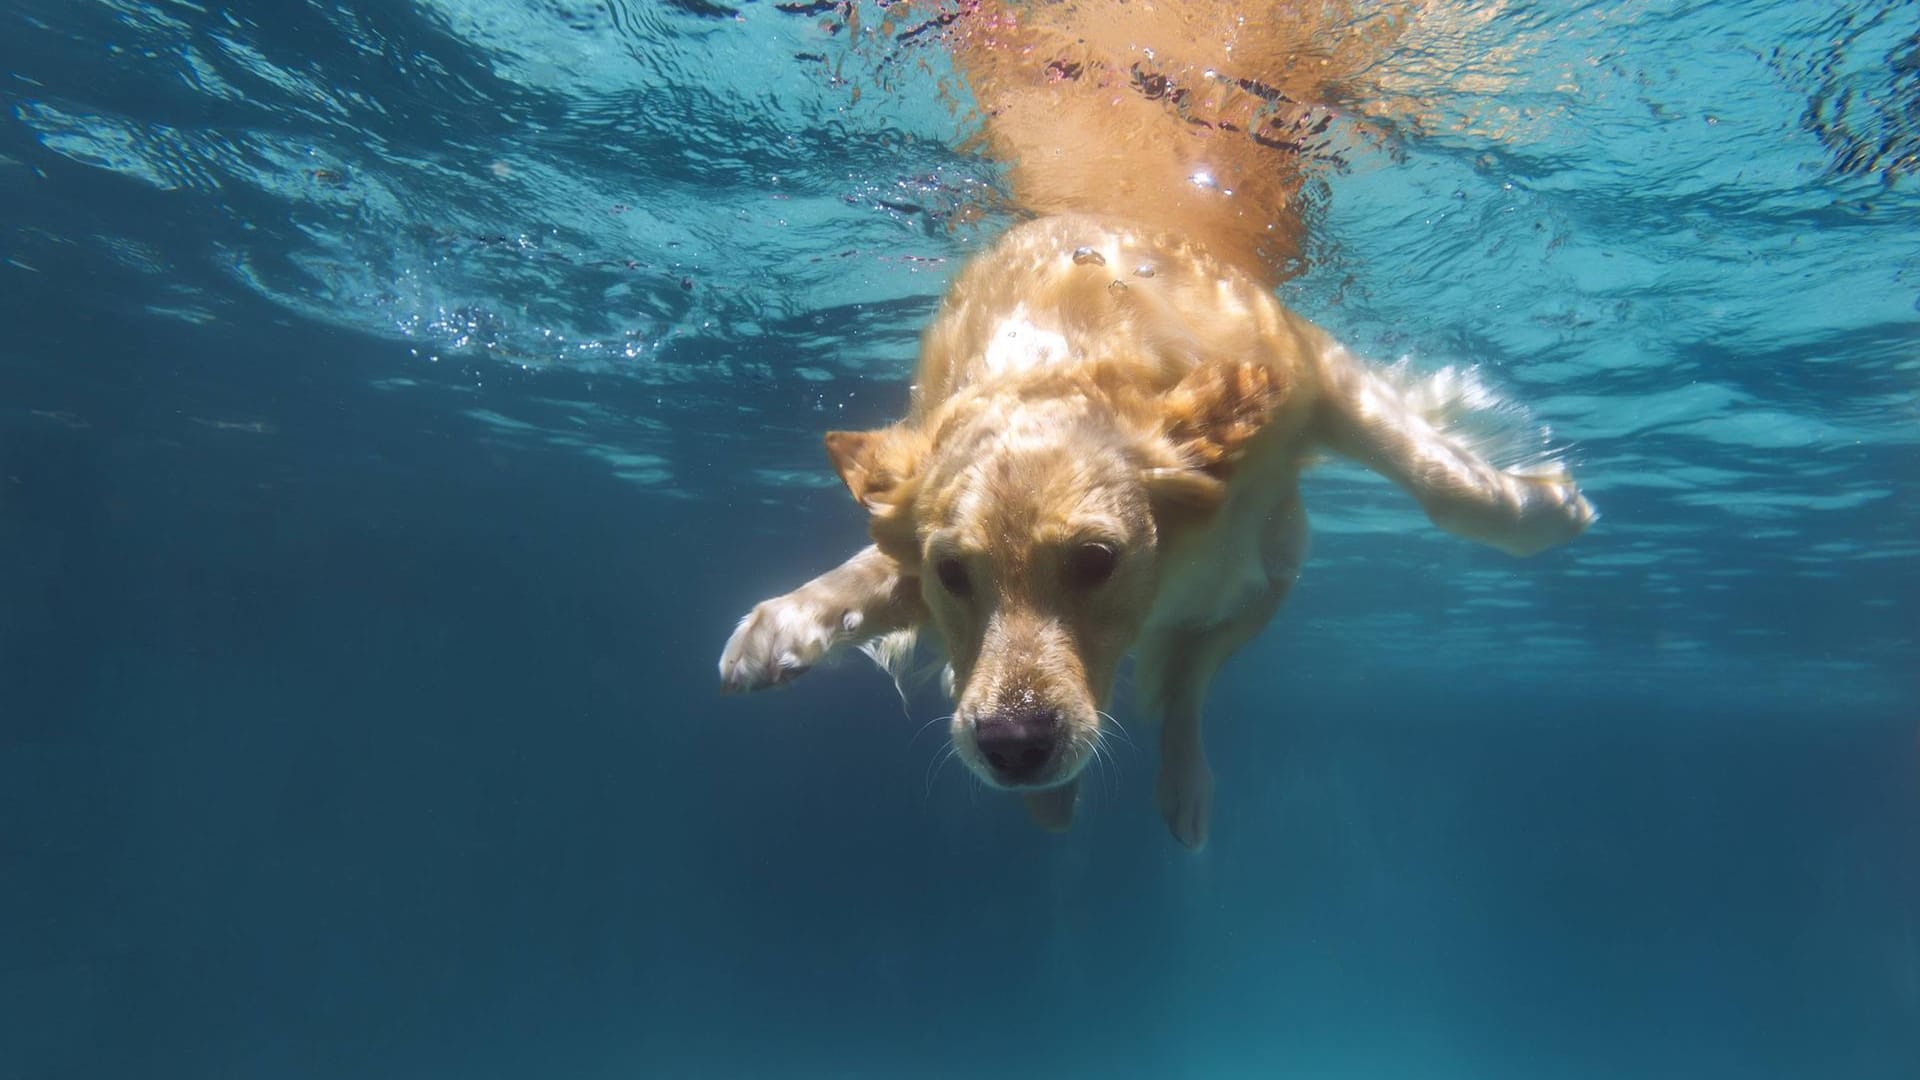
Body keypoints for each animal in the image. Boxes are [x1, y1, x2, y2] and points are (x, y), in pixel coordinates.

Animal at [718, 0, 1589, 845]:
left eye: (1096, 560)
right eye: (954, 573)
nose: (1014, 746)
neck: (1056, 354)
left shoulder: (1304, 370)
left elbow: (1437, 477)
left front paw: (1544, 509)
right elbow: (884, 565)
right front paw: (783, 623)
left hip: (1270, 573)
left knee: (1193, 677)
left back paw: (1178, 784)